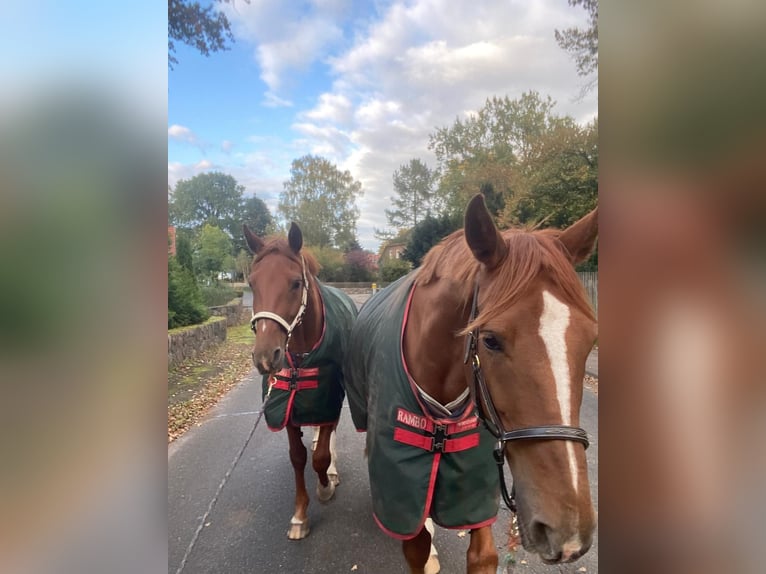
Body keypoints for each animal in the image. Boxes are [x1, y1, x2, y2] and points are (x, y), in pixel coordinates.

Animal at [244, 223, 358, 544]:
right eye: (252, 283)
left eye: (295, 283)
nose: (265, 356)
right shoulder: (287, 409)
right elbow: (298, 457)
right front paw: (299, 515)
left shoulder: (328, 398)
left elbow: (319, 457)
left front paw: (325, 486)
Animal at [346, 196, 600, 572]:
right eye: (490, 340)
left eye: (590, 340)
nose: (567, 532)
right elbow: (416, 544)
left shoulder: (472, 493)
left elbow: (484, 554)